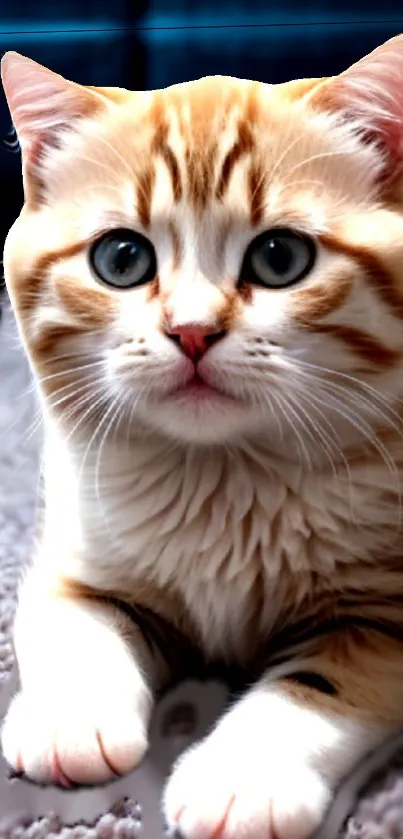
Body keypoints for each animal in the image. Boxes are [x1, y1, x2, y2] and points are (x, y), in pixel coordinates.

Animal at [2, 37, 403, 839]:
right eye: (121, 259)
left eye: (279, 257)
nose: (191, 330)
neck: (222, 476)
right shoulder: (74, 553)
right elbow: (72, 623)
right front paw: (70, 717)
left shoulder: (389, 609)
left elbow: (323, 682)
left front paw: (244, 774)